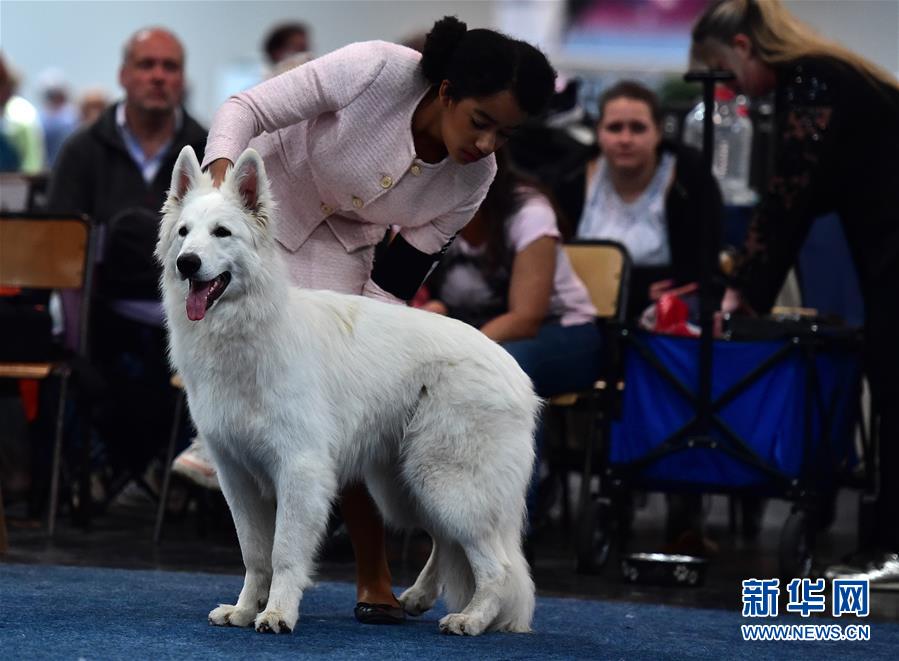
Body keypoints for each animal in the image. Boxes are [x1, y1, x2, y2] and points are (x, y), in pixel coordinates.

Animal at [156, 146, 540, 636]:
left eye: (222, 232)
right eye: (184, 232)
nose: (186, 262)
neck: (249, 328)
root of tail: (518, 375)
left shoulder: (300, 470)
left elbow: (283, 553)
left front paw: (277, 613)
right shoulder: (236, 476)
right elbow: (255, 554)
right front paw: (243, 610)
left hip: (446, 484)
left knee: (498, 567)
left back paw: (470, 619)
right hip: (405, 489)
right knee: (446, 543)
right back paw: (418, 597)